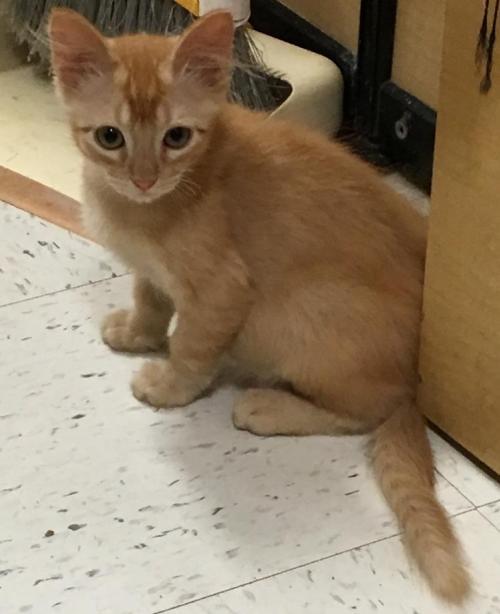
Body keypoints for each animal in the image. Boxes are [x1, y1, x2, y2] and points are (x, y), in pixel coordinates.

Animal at [48, 8, 470, 608]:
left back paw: (269, 408)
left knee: (366, 411)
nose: (144, 178)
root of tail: (417, 380)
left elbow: (192, 346)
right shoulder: (154, 269)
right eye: (111, 137)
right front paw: (136, 332)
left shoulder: (222, 290)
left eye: (177, 136)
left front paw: (168, 386)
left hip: (298, 310)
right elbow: (149, 294)